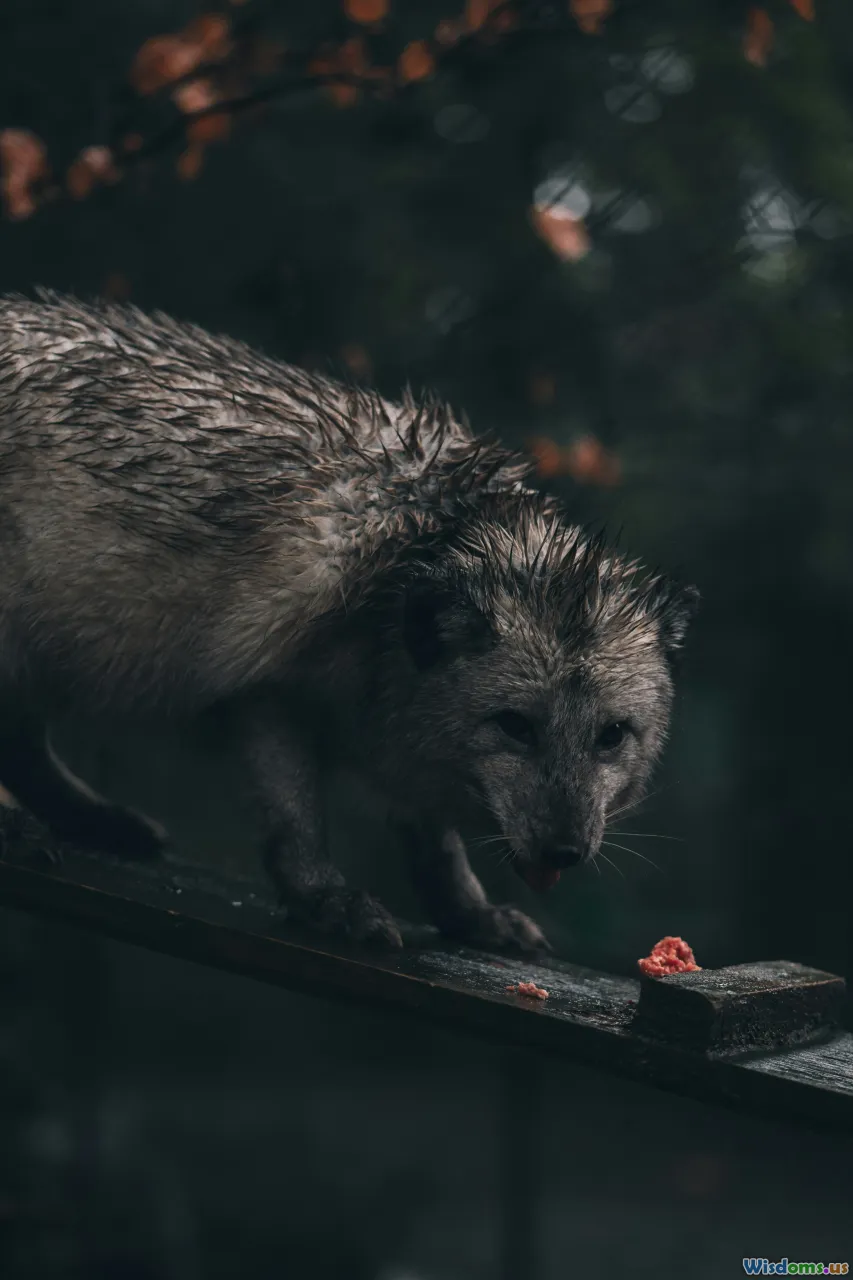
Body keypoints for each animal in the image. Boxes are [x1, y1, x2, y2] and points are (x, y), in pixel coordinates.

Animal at [0, 291, 697, 950]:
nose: (565, 853)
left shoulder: (404, 738)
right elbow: (297, 823)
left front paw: (471, 917)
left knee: (25, 748)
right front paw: (329, 902)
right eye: (515, 727)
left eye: (611, 736)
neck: (423, 548)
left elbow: (435, 847)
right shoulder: (266, 695)